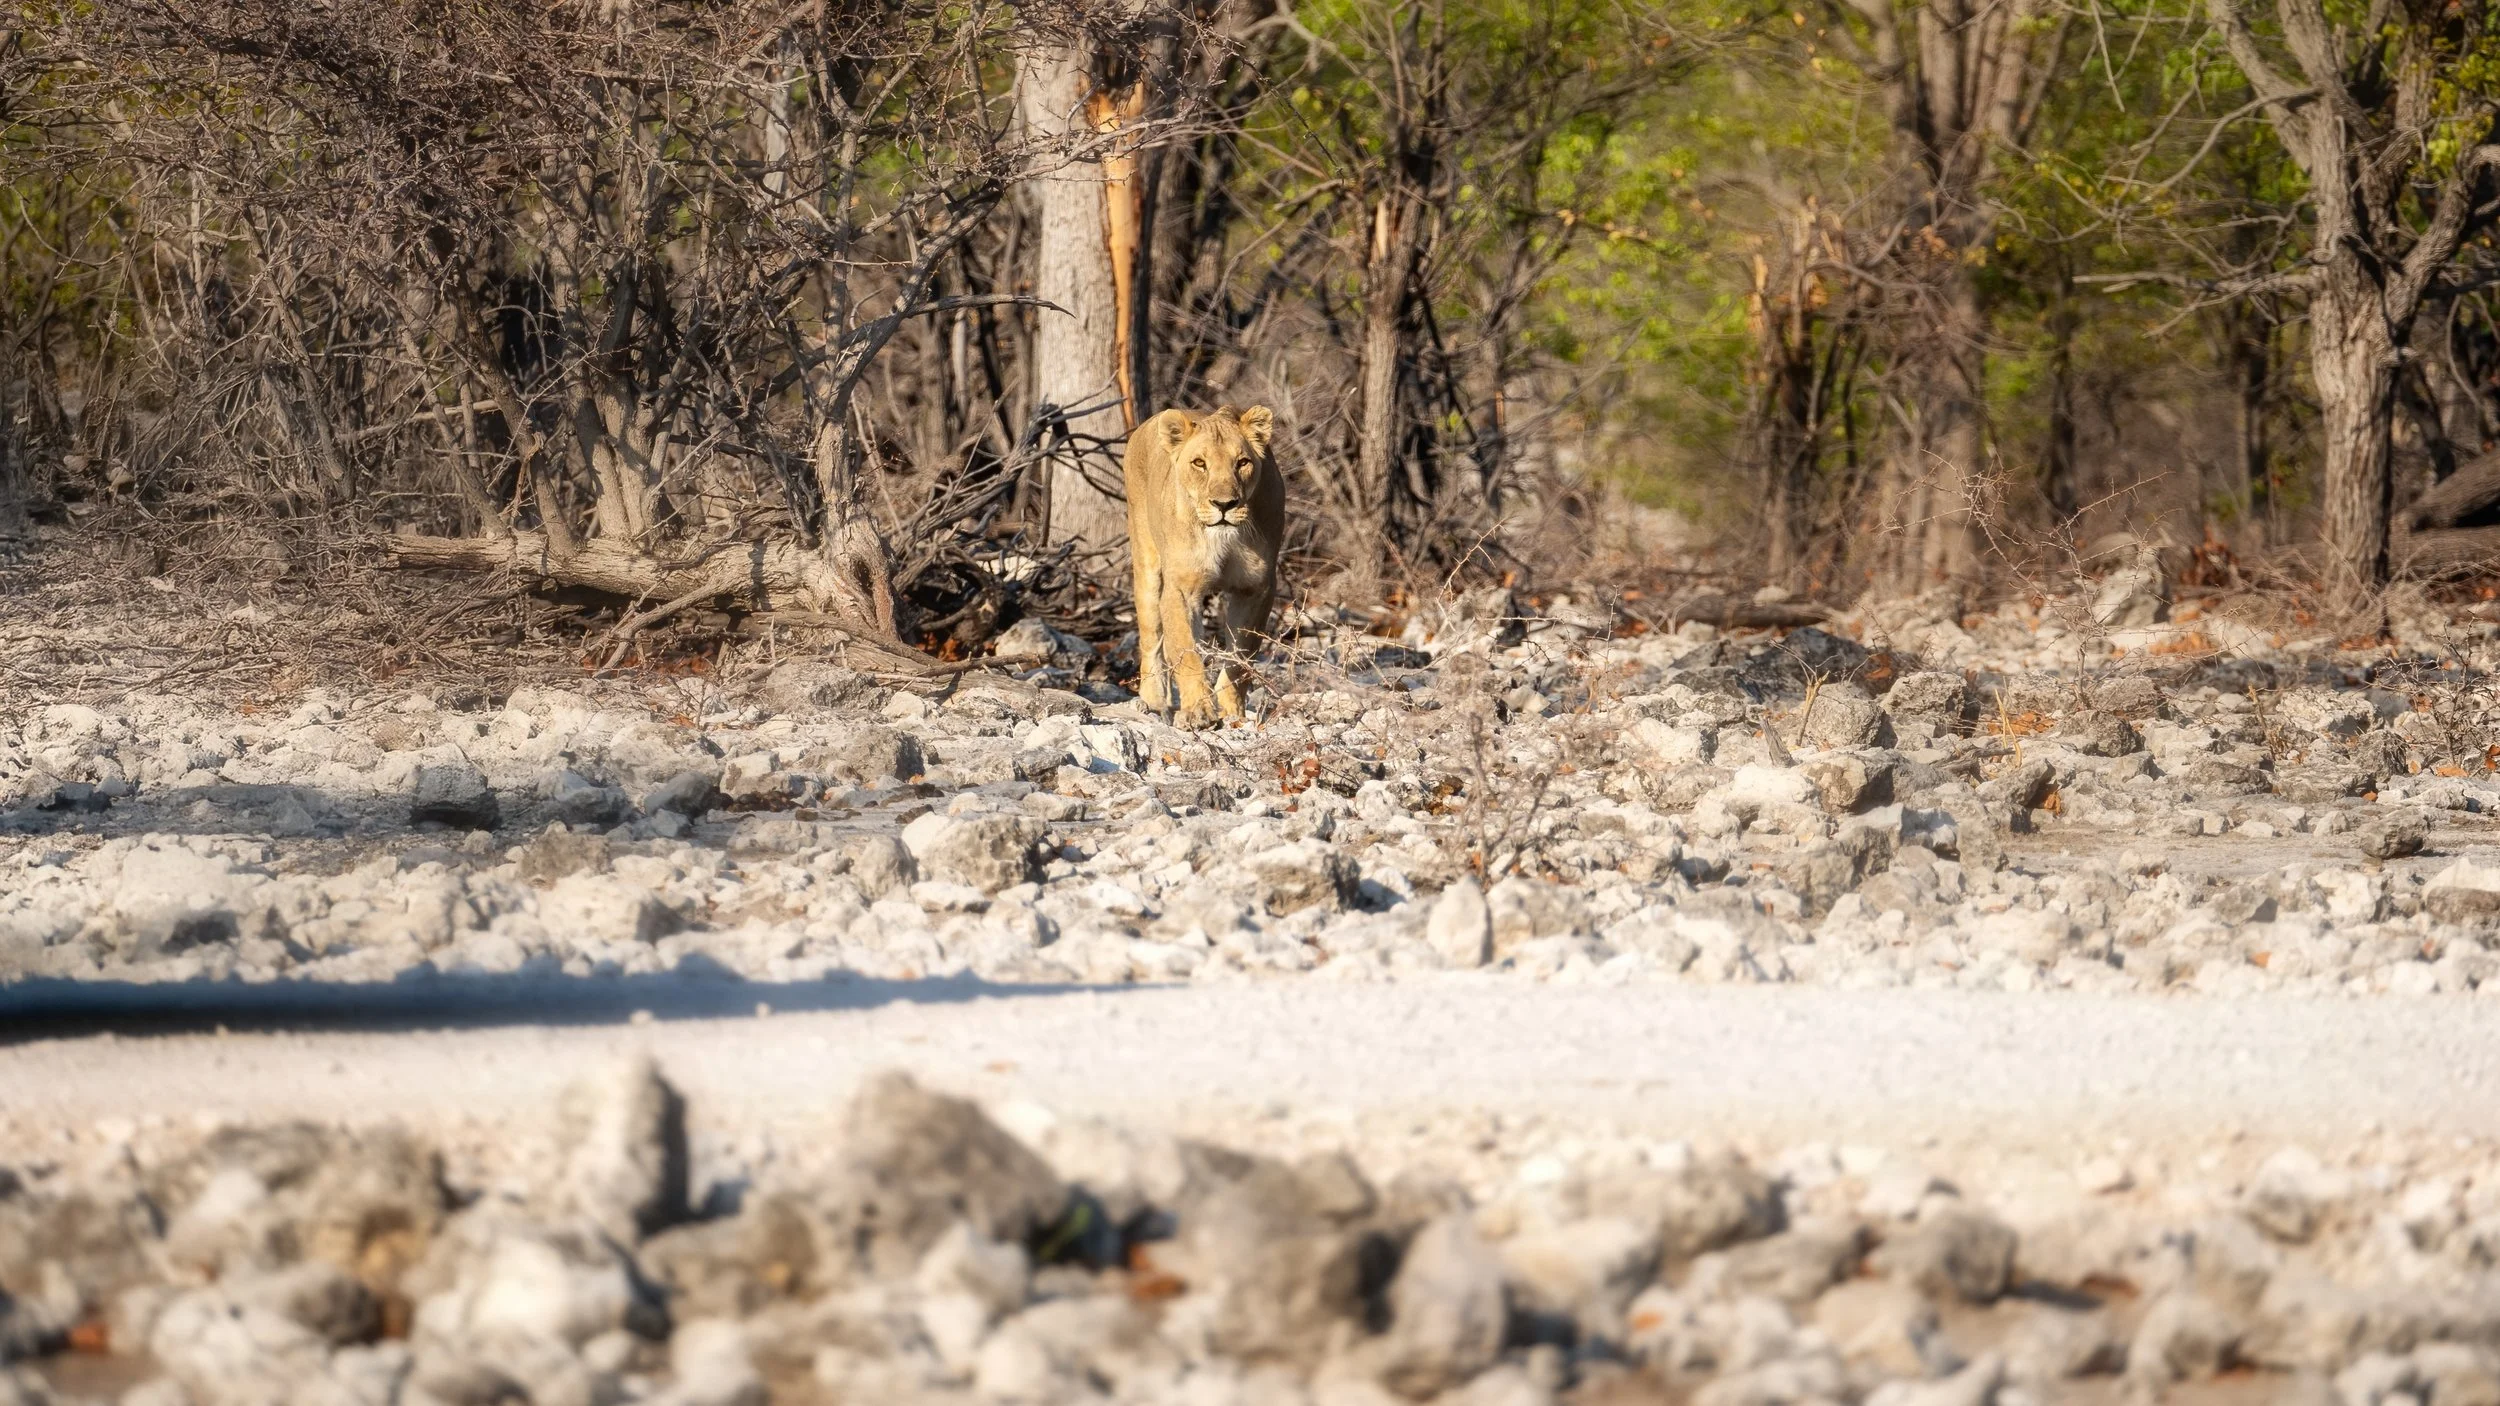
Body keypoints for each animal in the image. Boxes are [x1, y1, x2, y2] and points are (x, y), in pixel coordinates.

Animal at [1122, 404, 1284, 727]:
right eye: (1199, 463)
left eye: (1242, 462)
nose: (1224, 505)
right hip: (1146, 564)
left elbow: (1240, 657)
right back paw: (1153, 703)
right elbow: (1186, 652)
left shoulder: (1255, 589)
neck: (1222, 539)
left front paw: (1232, 712)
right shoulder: (1180, 589)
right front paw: (1198, 712)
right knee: (1151, 638)